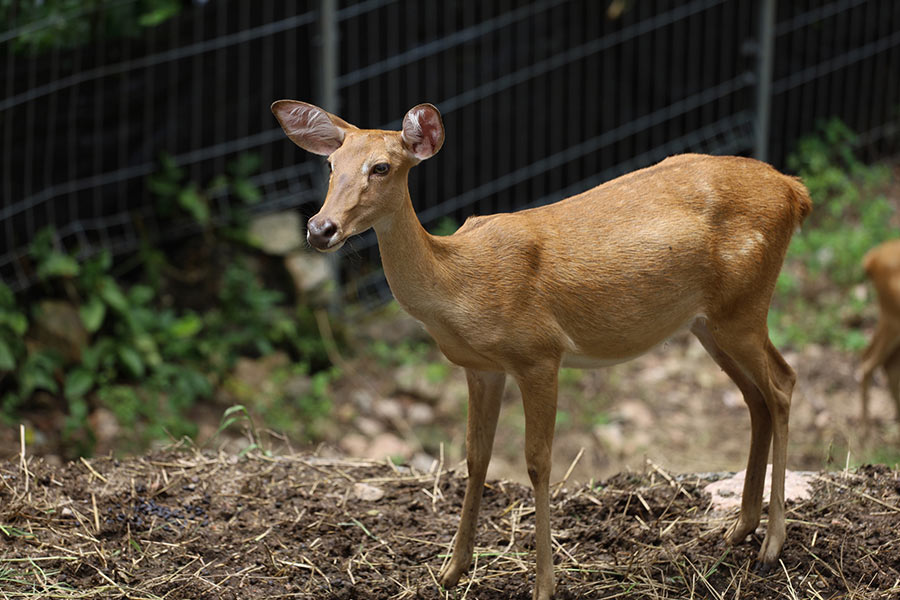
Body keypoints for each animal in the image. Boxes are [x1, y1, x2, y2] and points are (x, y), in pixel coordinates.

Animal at [271, 100, 812, 600]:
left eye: (381, 167)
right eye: (330, 164)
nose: (320, 228)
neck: (459, 284)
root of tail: (795, 190)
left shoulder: (539, 354)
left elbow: (537, 462)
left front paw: (544, 585)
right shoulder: (480, 368)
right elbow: (476, 457)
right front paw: (451, 571)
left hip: (744, 305)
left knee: (784, 383)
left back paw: (771, 546)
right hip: (707, 322)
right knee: (756, 398)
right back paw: (739, 529)